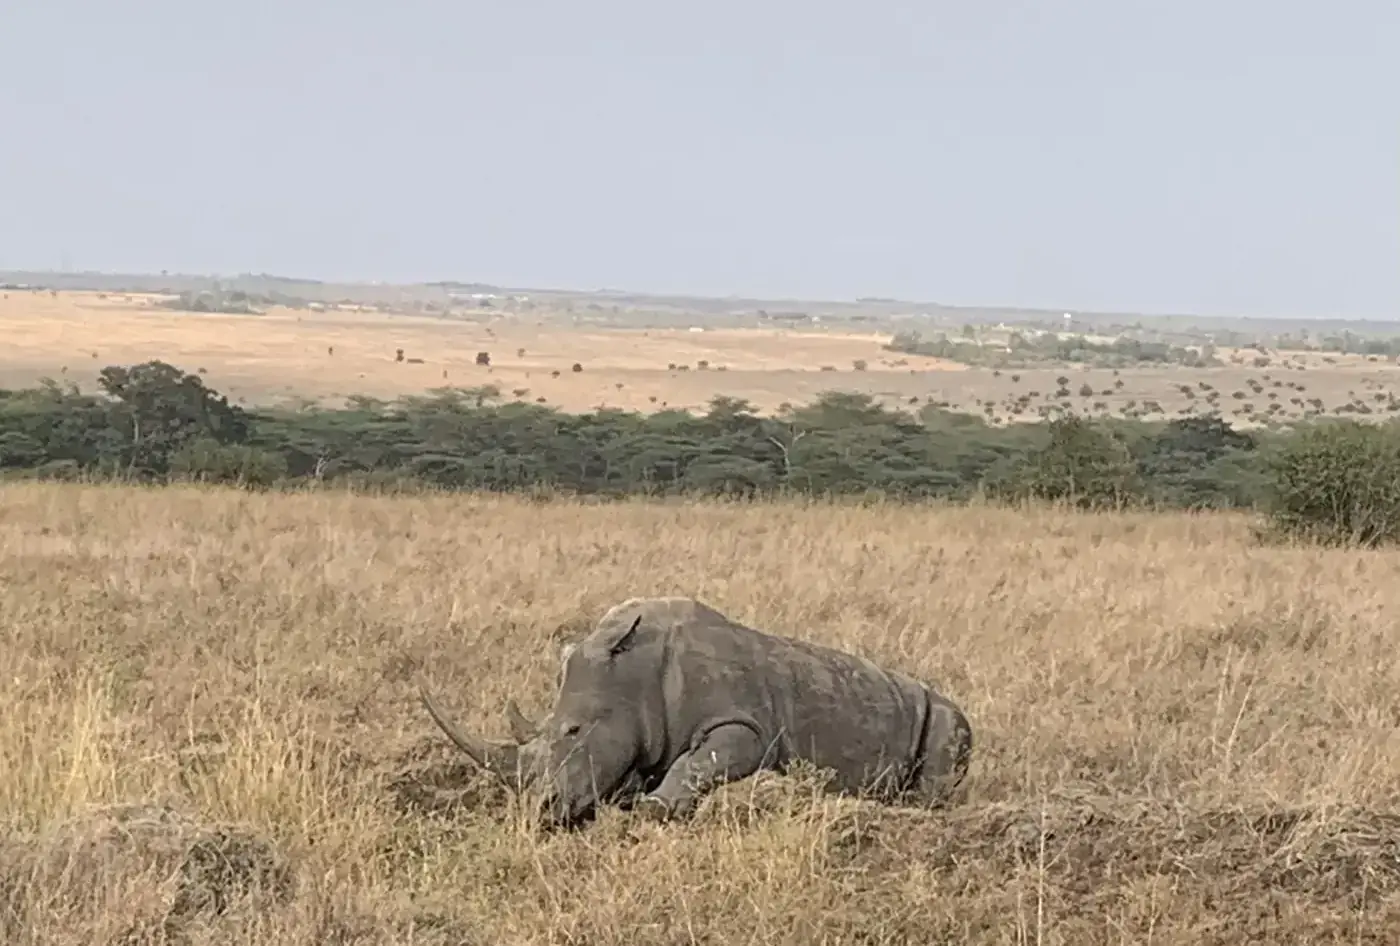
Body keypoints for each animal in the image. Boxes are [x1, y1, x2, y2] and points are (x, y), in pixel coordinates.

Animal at [418, 596, 972, 827]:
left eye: (573, 731)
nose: (538, 813)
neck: (632, 672)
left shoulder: (745, 725)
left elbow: (702, 760)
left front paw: (653, 810)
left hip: (946, 715)